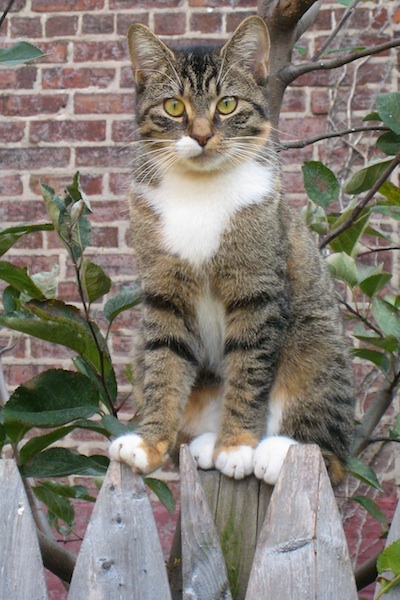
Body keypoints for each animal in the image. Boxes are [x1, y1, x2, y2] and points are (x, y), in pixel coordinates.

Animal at [108, 14, 354, 486]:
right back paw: (205, 441)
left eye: (226, 105)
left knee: (329, 450)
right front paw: (149, 443)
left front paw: (237, 447)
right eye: (174, 107)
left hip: (317, 346)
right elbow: (165, 370)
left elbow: (249, 371)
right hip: (141, 350)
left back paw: (274, 450)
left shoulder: (257, 289)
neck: (200, 191)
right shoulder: (165, 293)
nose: (202, 136)